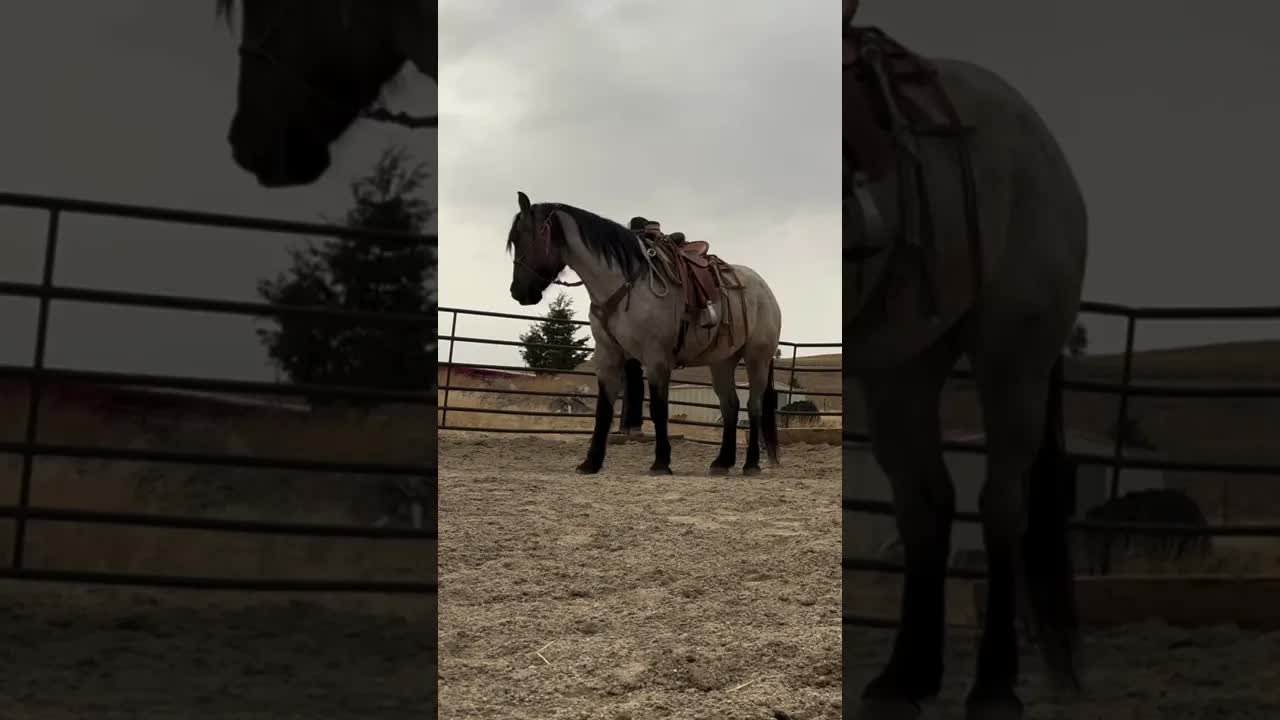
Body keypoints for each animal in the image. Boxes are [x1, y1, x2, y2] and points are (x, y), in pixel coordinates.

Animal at [506, 192, 783, 476]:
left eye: (523, 237)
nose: (518, 292)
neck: (625, 283)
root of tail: (765, 291)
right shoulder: (608, 355)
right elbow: (603, 409)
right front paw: (591, 462)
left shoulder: (656, 358)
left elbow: (658, 408)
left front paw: (661, 462)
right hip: (722, 362)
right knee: (730, 406)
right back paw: (722, 462)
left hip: (757, 359)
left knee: (753, 406)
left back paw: (751, 464)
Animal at [844, 20, 1088, 720]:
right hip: (902, 363)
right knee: (926, 502)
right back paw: (904, 677)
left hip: (1014, 357)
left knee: (1001, 504)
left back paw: (994, 686)